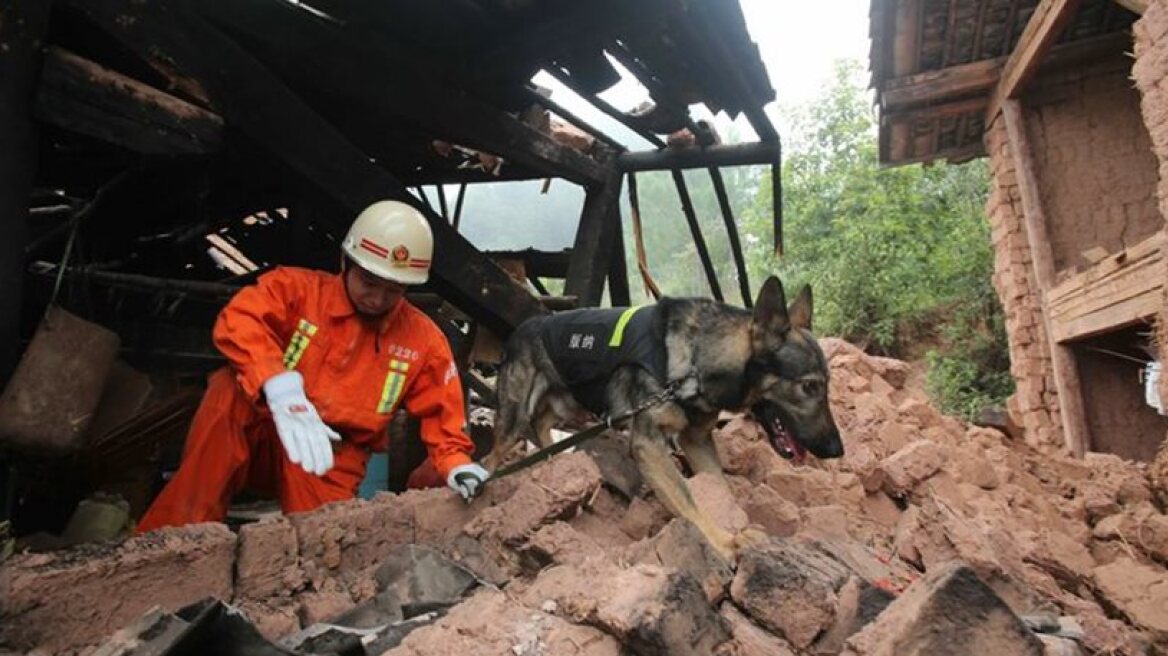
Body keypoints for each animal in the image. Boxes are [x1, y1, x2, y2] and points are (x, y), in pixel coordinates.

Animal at [488, 274, 845, 555]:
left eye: (826, 384)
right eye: (809, 386)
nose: (836, 450)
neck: (699, 361)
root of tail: (524, 326)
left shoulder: (697, 441)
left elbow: (719, 489)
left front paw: (737, 527)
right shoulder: (649, 446)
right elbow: (688, 501)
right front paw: (723, 544)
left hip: (569, 403)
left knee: (541, 423)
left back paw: (552, 462)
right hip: (513, 420)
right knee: (494, 456)